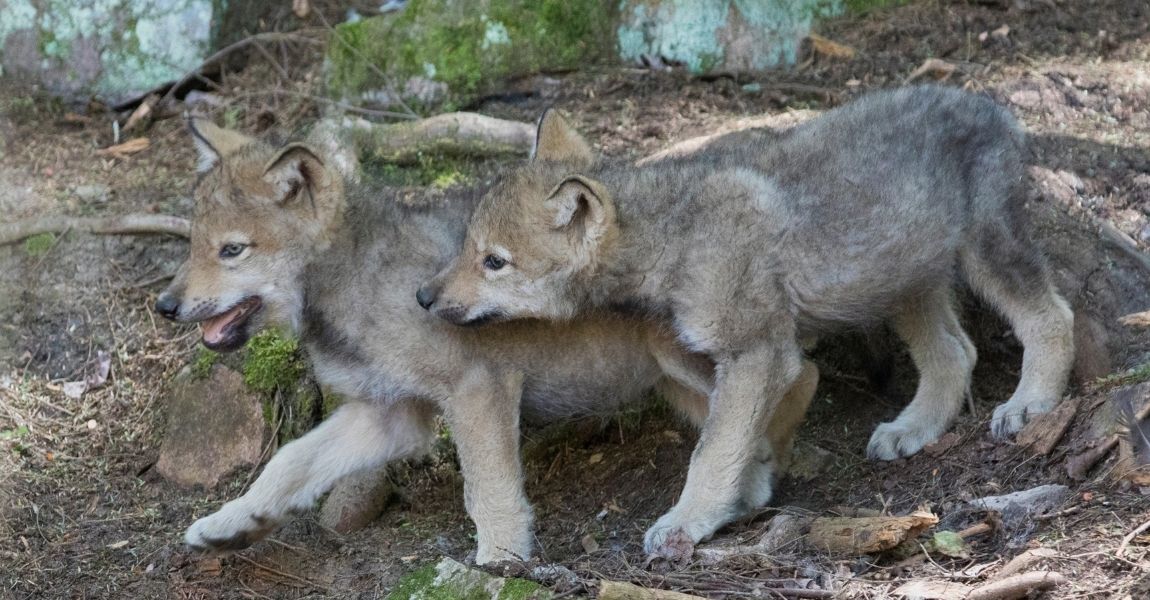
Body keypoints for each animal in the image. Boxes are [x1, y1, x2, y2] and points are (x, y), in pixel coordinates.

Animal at [154, 118, 818, 564]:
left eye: (232, 250)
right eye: (191, 245)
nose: (165, 306)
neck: (357, 287)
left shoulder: (476, 389)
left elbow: (487, 488)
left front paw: (501, 561)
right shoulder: (390, 415)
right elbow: (289, 461)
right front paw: (233, 522)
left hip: (695, 354)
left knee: (788, 377)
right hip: (675, 379)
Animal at [418, 85, 1076, 559]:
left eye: (494, 261)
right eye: (468, 248)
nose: (423, 296)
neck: (676, 236)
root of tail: (991, 104)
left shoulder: (758, 355)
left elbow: (712, 453)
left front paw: (688, 523)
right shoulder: (739, 361)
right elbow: (738, 439)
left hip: (984, 254)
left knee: (1052, 316)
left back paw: (1030, 406)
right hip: (901, 280)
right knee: (954, 353)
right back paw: (911, 429)